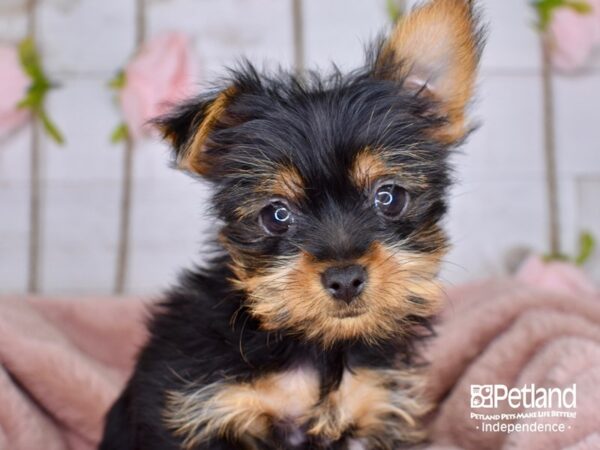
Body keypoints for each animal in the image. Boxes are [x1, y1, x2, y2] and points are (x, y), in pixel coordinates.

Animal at [101, 1, 486, 448]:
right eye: (276, 214)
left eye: (389, 197)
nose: (344, 279)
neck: (317, 347)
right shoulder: (201, 410)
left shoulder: (372, 412)